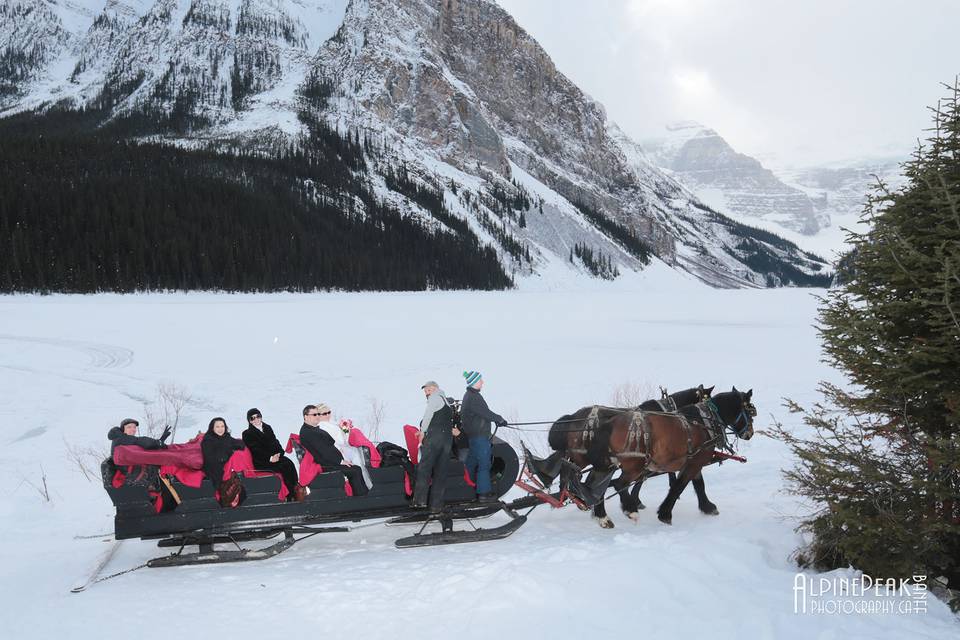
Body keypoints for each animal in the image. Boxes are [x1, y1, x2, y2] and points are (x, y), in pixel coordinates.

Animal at [544, 388, 752, 528]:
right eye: (750, 411)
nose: (749, 433)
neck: (699, 422)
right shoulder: (693, 460)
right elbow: (678, 486)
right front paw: (662, 512)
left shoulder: (682, 461)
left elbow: (694, 484)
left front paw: (707, 506)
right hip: (602, 461)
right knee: (592, 481)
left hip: (602, 463)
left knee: (589, 483)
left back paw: (599, 512)